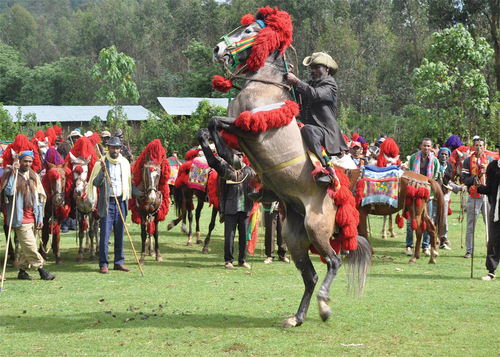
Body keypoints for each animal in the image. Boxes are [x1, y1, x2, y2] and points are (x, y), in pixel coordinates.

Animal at [203, 7, 372, 328]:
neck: (264, 87)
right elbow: (205, 130)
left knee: (334, 262)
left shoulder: (248, 127)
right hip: (294, 237)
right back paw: (297, 317)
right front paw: (223, 158)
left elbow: (214, 122)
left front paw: (227, 155)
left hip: (316, 228)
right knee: (310, 275)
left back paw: (324, 306)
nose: (217, 49)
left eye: (248, 31)